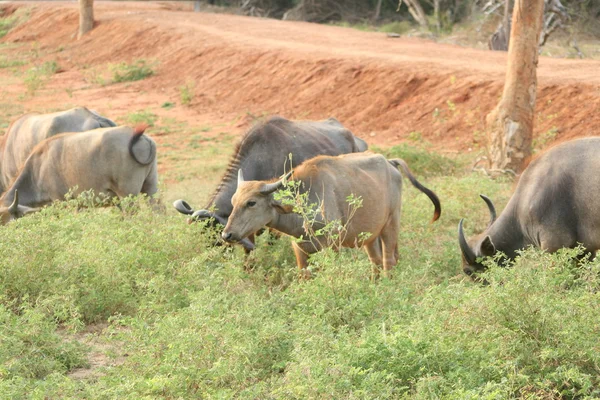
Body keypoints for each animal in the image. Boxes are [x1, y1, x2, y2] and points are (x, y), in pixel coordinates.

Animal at [220, 152, 440, 276]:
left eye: (251, 202)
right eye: (233, 202)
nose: (226, 234)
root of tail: (390, 162)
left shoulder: (332, 247)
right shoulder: (300, 249)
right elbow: (305, 276)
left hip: (391, 224)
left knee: (389, 261)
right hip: (370, 236)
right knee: (376, 262)